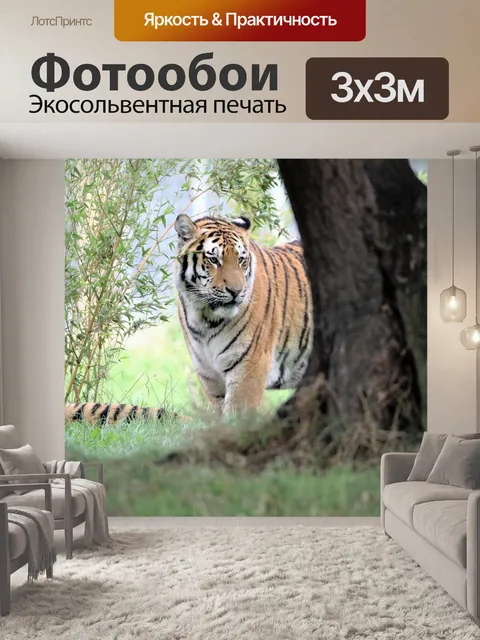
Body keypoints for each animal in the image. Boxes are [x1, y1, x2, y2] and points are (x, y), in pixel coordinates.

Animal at [174, 213, 313, 414]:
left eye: (241, 260)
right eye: (214, 260)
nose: (236, 291)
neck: (205, 318)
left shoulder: (249, 369)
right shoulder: (209, 375)